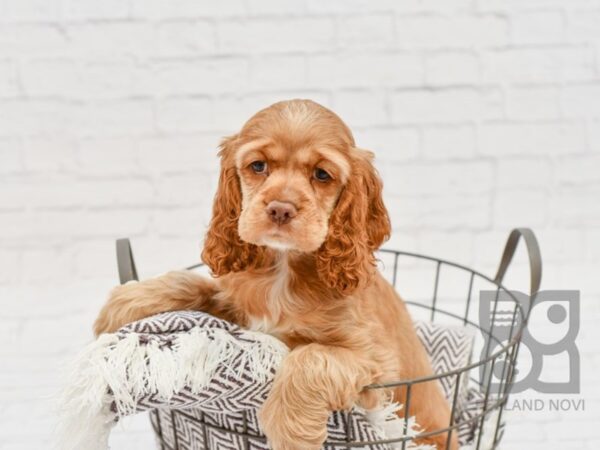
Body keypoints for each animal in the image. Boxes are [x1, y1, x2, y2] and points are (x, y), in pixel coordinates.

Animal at [96, 99, 458, 450]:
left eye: (322, 174)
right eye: (258, 166)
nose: (280, 209)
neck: (284, 267)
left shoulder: (378, 365)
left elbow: (309, 357)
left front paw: (290, 431)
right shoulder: (237, 307)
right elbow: (194, 284)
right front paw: (124, 302)